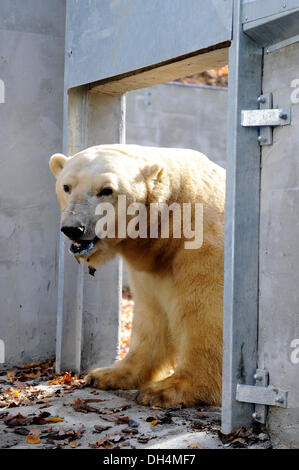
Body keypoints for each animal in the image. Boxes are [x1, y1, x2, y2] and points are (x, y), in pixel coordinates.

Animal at [50, 144, 226, 408]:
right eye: (66, 186)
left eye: (106, 190)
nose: (74, 228)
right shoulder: (153, 268)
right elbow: (151, 317)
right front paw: (106, 374)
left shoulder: (205, 251)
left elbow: (206, 316)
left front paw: (166, 390)